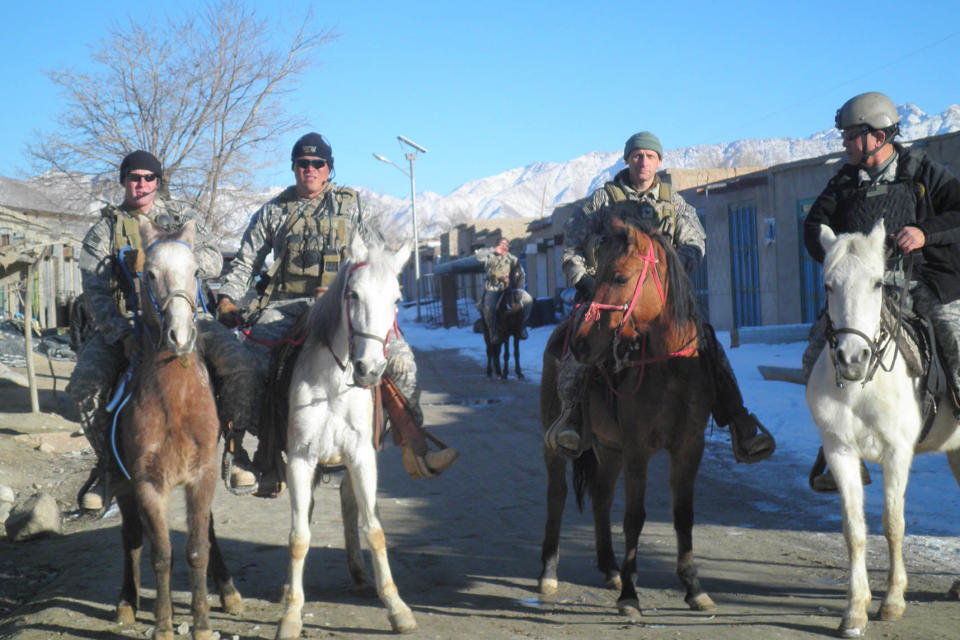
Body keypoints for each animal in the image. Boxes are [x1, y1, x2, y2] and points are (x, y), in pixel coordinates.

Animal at [112, 219, 242, 636]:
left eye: (197, 271)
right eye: (150, 274)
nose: (180, 337)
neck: (176, 402)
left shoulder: (202, 477)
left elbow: (197, 548)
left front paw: (201, 624)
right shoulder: (146, 484)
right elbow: (161, 554)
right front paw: (164, 625)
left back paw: (228, 590)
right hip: (120, 483)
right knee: (132, 538)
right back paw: (127, 601)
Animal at [274, 232, 416, 636]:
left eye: (397, 299)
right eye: (352, 294)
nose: (369, 369)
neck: (333, 386)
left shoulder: (361, 457)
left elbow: (375, 530)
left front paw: (397, 608)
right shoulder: (301, 458)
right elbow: (298, 536)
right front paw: (291, 614)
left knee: (348, 505)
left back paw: (359, 575)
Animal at [536, 212, 716, 616]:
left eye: (620, 277)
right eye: (598, 273)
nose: (582, 343)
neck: (671, 370)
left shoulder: (689, 448)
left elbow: (684, 514)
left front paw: (694, 587)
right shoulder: (637, 450)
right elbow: (635, 517)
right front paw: (631, 596)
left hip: (608, 448)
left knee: (601, 496)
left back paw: (609, 568)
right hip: (558, 443)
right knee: (556, 493)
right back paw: (549, 573)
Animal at [808, 221, 960, 640]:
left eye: (877, 283)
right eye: (827, 285)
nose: (851, 358)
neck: (864, 385)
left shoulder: (897, 454)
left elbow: (893, 524)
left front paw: (892, 601)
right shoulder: (840, 452)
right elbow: (854, 530)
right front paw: (855, 611)